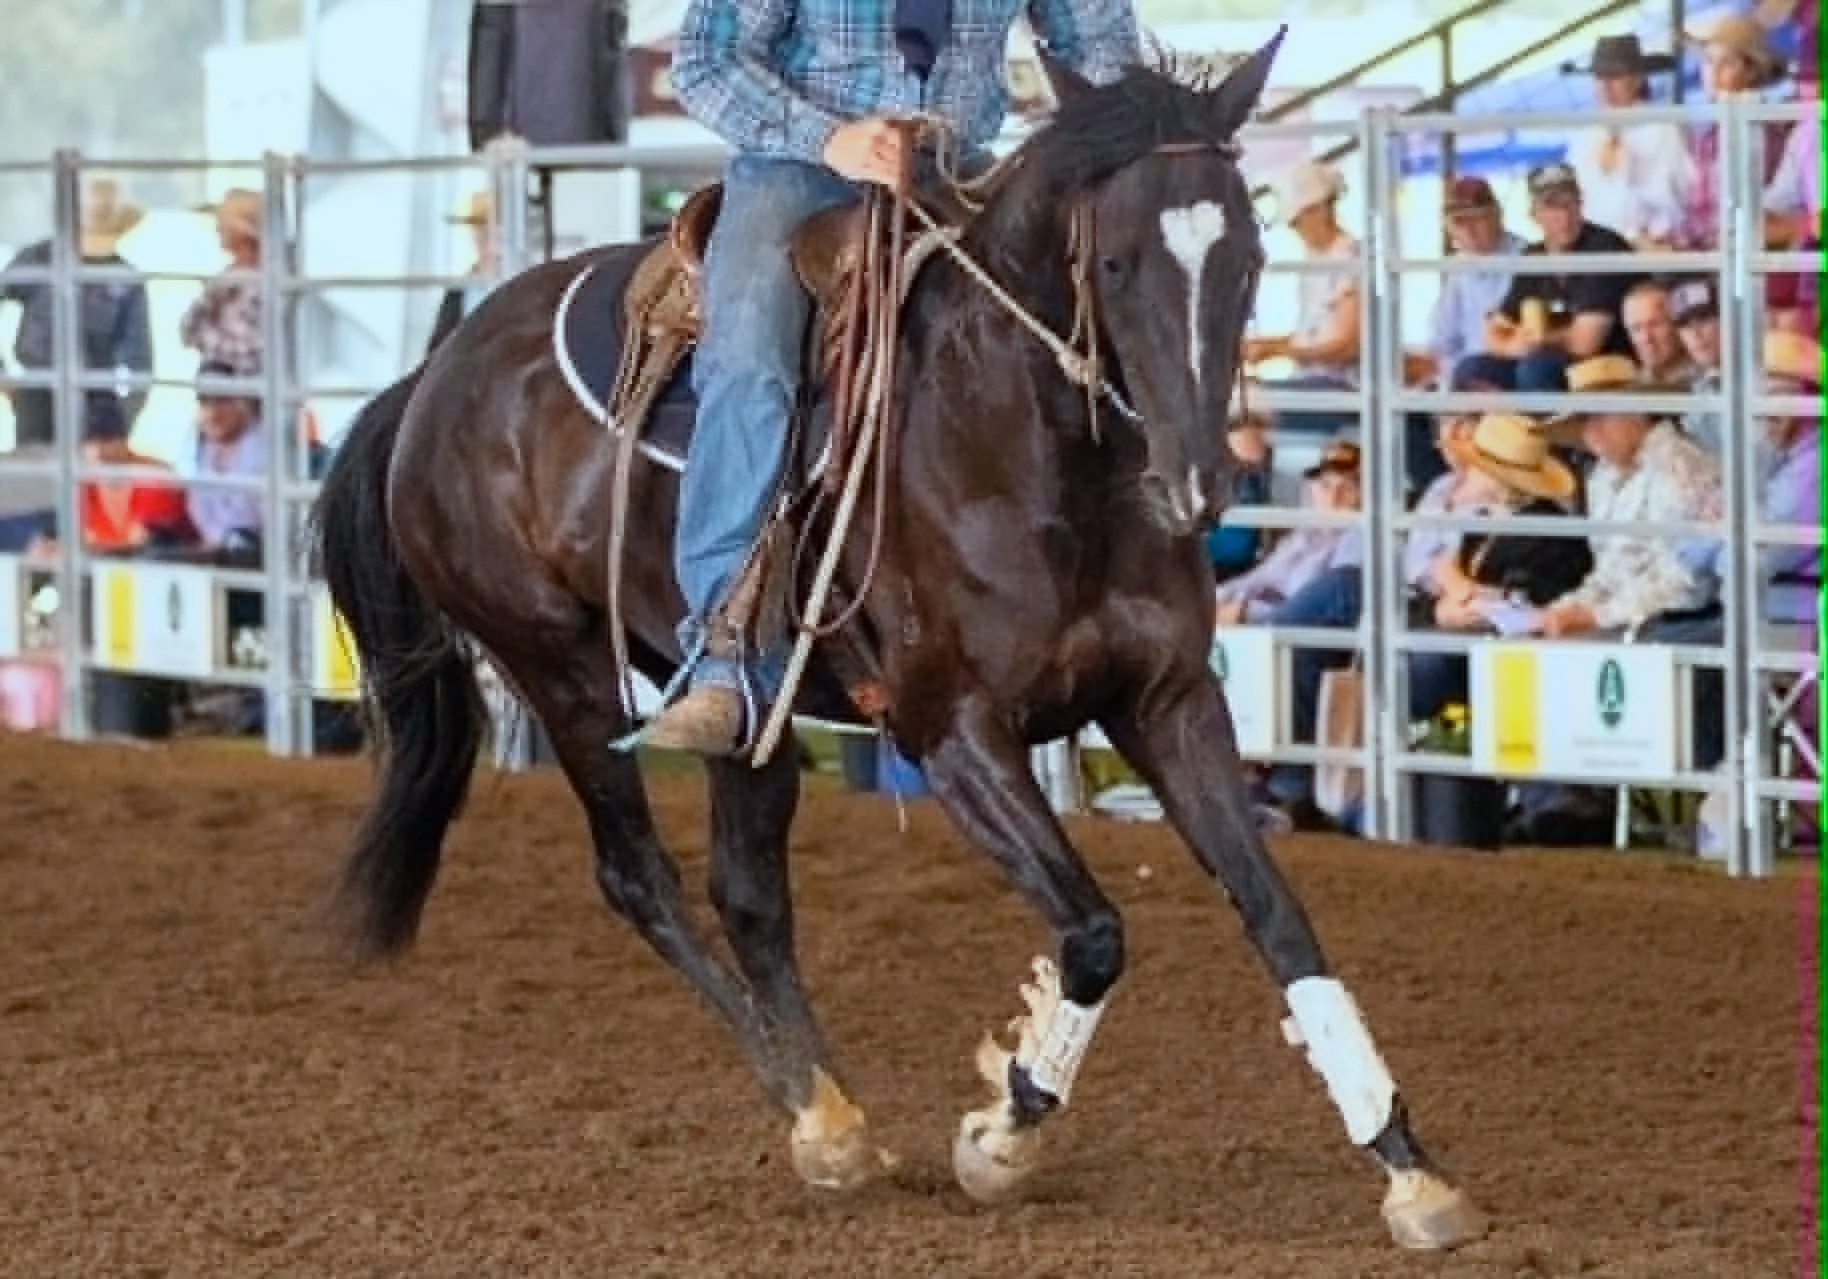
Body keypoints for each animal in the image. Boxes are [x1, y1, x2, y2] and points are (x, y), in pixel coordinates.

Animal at [310, 33, 1485, 1250]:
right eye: (1114, 264)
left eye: (1247, 256)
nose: (1200, 484)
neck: (1022, 442)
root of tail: (434, 374)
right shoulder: (951, 728)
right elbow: (1093, 931)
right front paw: (1000, 1133)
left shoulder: (1168, 702)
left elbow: (1281, 921)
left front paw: (1409, 1168)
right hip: (560, 668)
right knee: (639, 876)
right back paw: (814, 1114)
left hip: (748, 707)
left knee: (749, 893)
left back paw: (830, 1112)